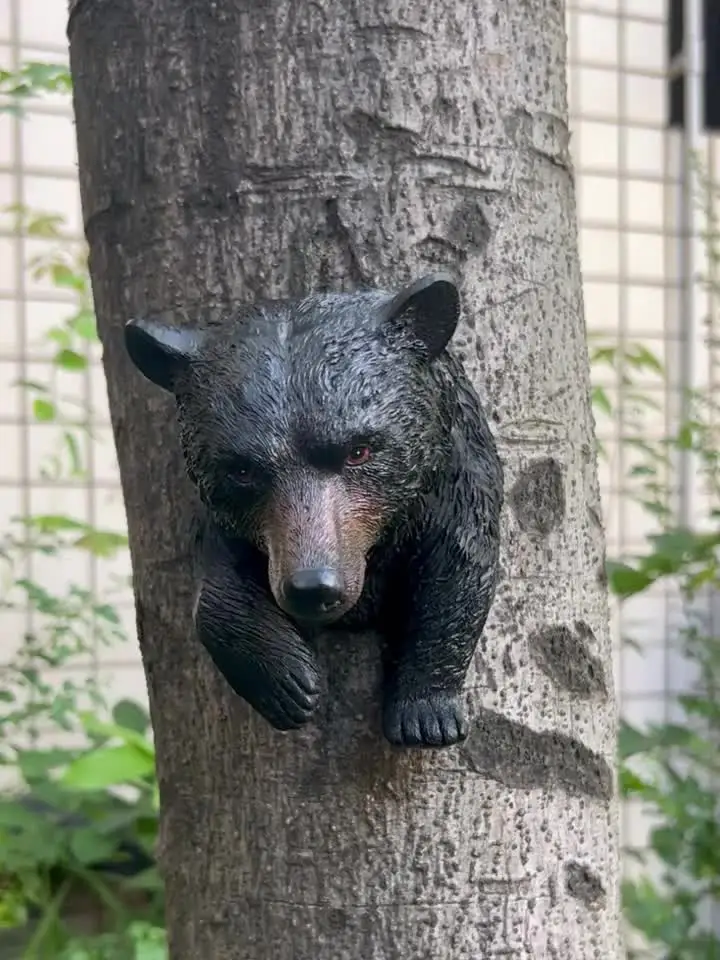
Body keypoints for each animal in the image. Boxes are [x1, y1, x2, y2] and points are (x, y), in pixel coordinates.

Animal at [124, 273, 503, 748]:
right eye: (241, 470)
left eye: (359, 450)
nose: (313, 586)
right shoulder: (235, 525)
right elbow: (217, 588)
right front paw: (289, 684)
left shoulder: (452, 483)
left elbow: (457, 575)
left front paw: (426, 715)